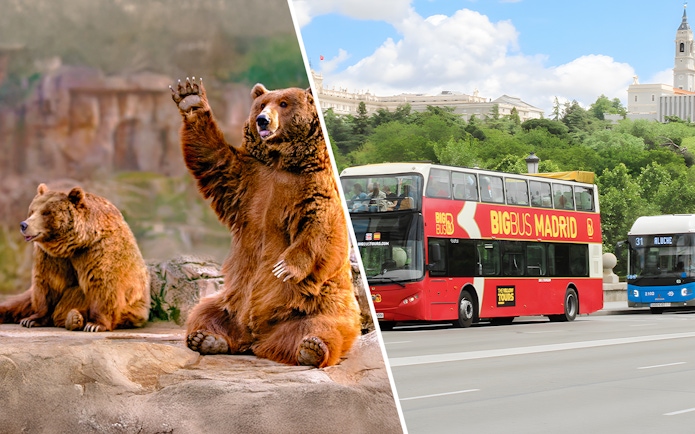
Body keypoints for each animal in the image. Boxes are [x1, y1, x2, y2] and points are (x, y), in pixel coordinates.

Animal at [0, 183, 150, 332]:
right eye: (32, 211)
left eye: (46, 212)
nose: (24, 225)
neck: (73, 245)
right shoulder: (50, 256)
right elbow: (48, 283)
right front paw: (31, 320)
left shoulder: (98, 250)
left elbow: (103, 284)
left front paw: (95, 325)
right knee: (20, 302)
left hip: (133, 308)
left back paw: (74, 318)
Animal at [170, 77, 361, 368]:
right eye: (261, 104)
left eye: (284, 103)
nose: (262, 120)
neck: (280, 161)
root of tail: (255, 338)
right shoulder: (247, 179)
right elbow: (213, 157)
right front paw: (190, 97)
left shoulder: (314, 187)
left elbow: (321, 227)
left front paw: (285, 267)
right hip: (231, 301)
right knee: (204, 311)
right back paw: (207, 339)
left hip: (317, 304)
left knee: (323, 326)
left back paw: (312, 348)